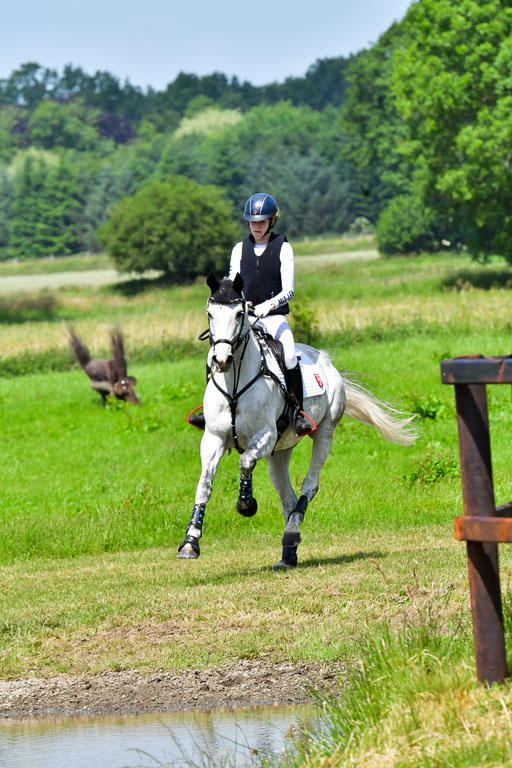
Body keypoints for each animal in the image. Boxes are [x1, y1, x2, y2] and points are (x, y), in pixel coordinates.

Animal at [177, 274, 417, 569]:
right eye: (210, 313)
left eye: (239, 313)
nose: (221, 360)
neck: (235, 383)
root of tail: (327, 361)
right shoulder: (213, 438)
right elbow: (204, 486)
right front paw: (190, 541)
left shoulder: (265, 435)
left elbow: (244, 462)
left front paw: (246, 505)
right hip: (279, 451)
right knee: (287, 498)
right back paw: (288, 552)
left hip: (324, 431)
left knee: (309, 486)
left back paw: (291, 534)